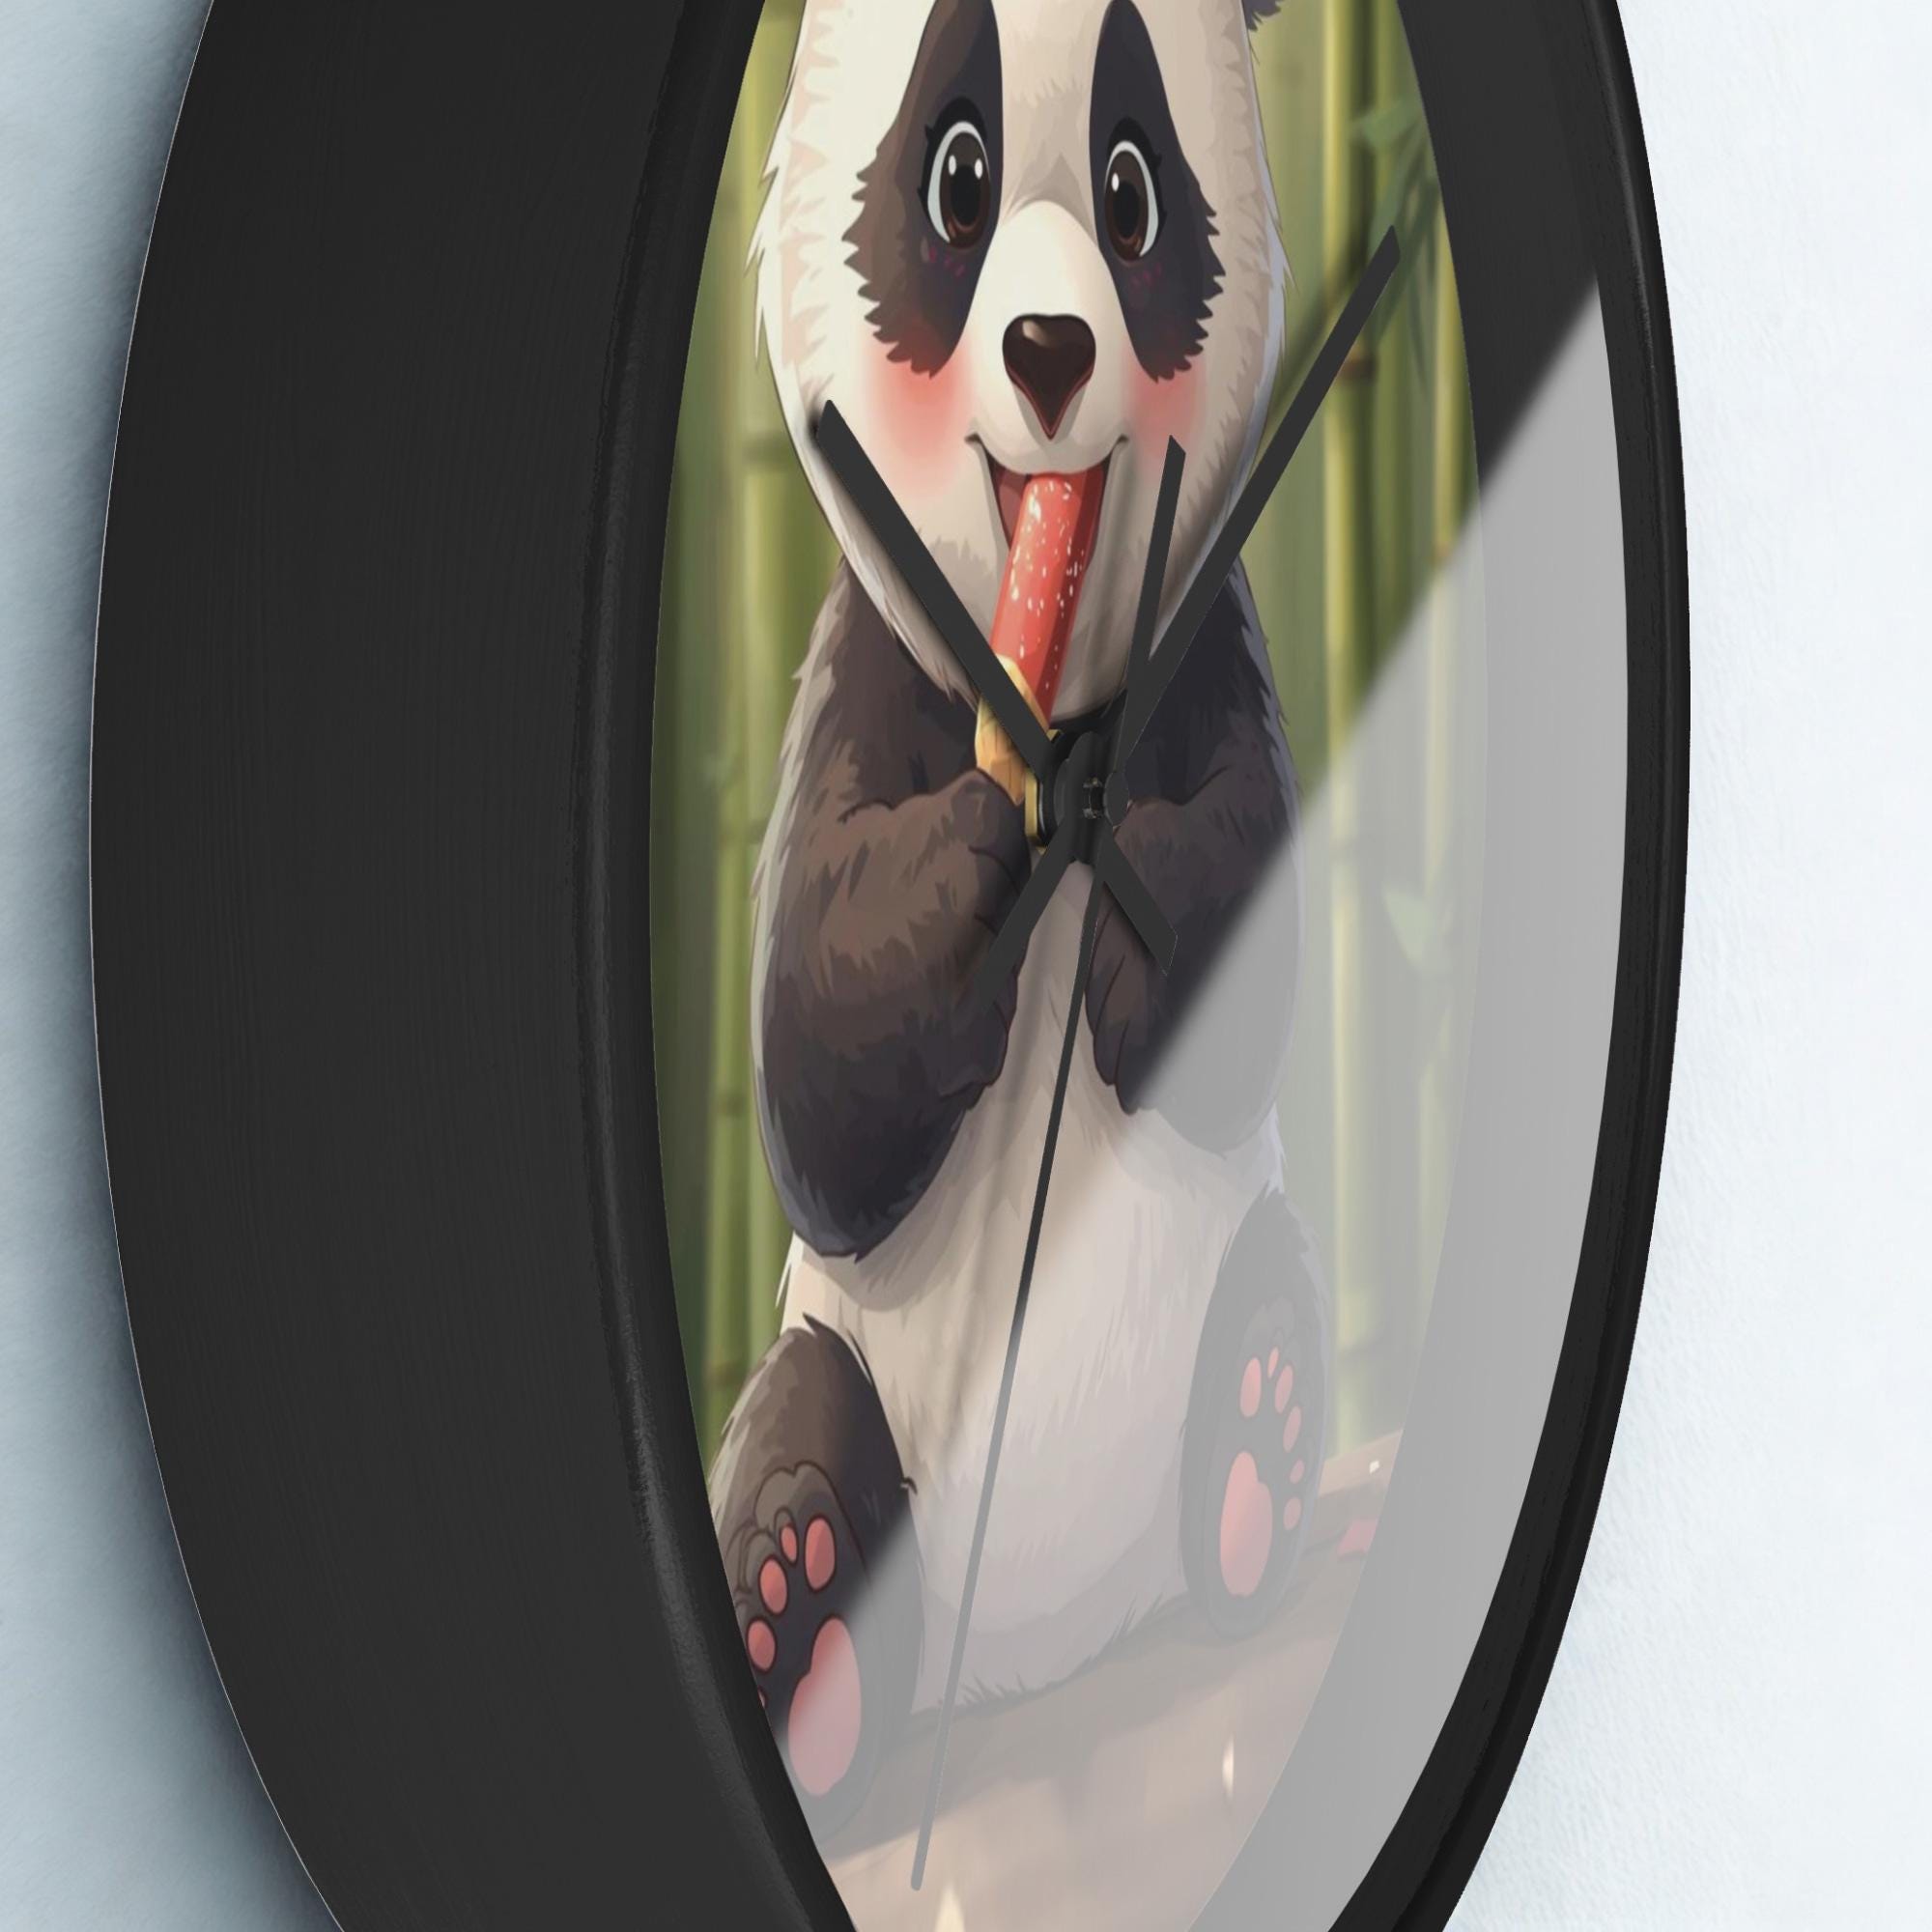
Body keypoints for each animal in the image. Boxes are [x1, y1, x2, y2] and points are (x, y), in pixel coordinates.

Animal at [706, 0, 1329, 1832]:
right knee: (804, 1425)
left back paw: (1263, 1450)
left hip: (1241, 1268)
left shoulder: (1216, 643)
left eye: (1134, 191)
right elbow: (818, 1082)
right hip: (850, 1370)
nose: (1053, 350)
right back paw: (800, 1625)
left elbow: (1249, 935)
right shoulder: (866, 665)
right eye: (955, 177)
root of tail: (1040, 1655)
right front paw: (976, 855)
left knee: (1266, 1308)